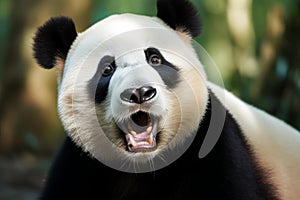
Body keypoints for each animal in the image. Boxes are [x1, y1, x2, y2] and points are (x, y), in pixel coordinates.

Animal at [32, 0, 300, 200]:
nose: (139, 93)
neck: (143, 166)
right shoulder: (82, 166)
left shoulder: (212, 147)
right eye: (106, 69)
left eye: (155, 59)